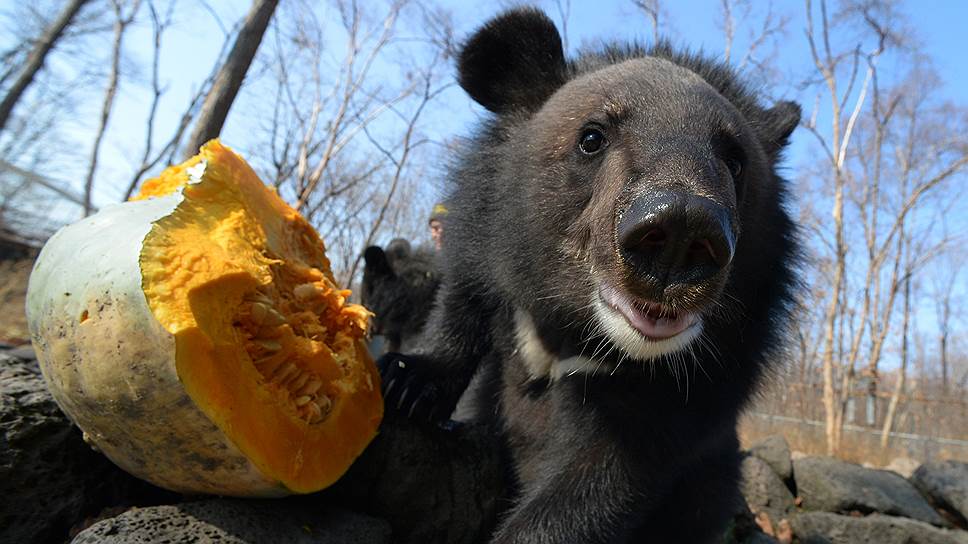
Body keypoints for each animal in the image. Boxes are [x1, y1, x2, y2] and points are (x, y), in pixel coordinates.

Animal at [382, 8, 796, 544]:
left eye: (735, 160)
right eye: (592, 138)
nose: (681, 229)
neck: (575, 330)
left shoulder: (707, 375)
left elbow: (598, 481)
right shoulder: (482, 232)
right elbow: (462, 301)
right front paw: (405, 381)